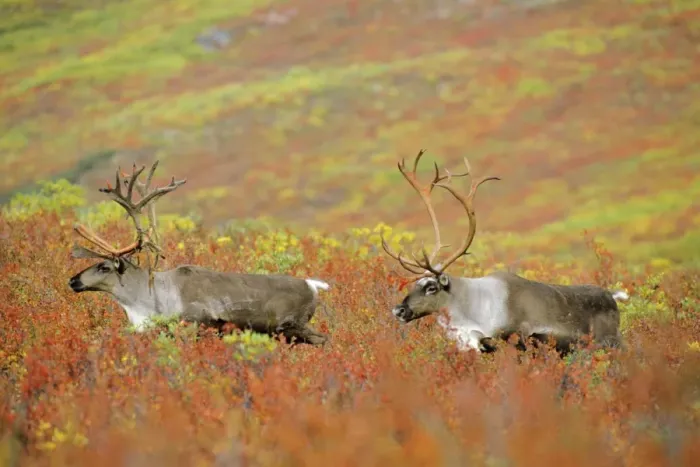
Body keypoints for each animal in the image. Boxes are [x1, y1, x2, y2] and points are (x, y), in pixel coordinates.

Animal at [68, 161, 330, 346]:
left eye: (104, 266)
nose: (73, 280)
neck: (151, 299)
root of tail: (313, 284)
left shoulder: (196, 324)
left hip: (293, 325)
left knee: (324, 339)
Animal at [380, 149, 629, 355]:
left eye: (431, 287)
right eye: (415, 284)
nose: (398, 310)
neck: (470, 308)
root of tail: (611, 296)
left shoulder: (515, 340)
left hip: (611, 342)